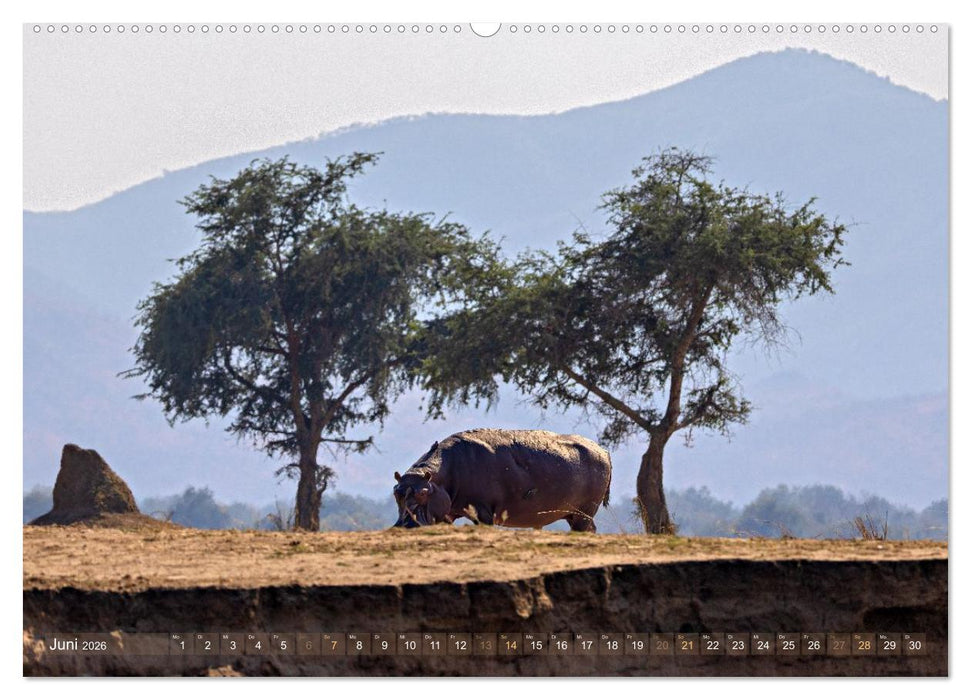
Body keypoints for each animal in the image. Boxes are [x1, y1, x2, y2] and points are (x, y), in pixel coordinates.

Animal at [392, 428, 611, 532]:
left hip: (584, 512)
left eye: (423, 492)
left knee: (586, 529)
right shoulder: (448, 513)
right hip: (576, 514)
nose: (405, 525)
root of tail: (603, 451)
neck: (437, 477)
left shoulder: (482, 511)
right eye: (396, 491)